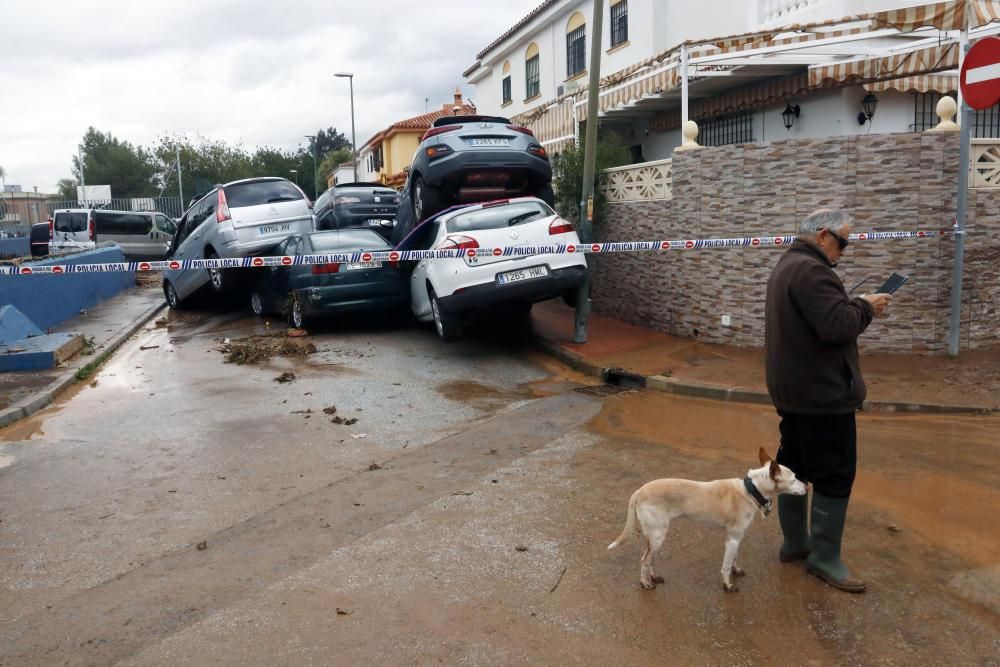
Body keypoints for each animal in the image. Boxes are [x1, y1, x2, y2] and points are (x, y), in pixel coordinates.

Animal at [604, 446, 808, 592]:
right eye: (794, 479)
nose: (807, 487)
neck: (751, 490)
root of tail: (640, 491)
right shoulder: (731, 539)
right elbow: (725, 566)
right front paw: (728, 585)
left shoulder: (738, 538)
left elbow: (734, 559)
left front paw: (736, 570)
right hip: (658, 535)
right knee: (643, 560)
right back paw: (645, 583)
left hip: (655, 537)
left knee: (649, 559)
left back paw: (653, 577)